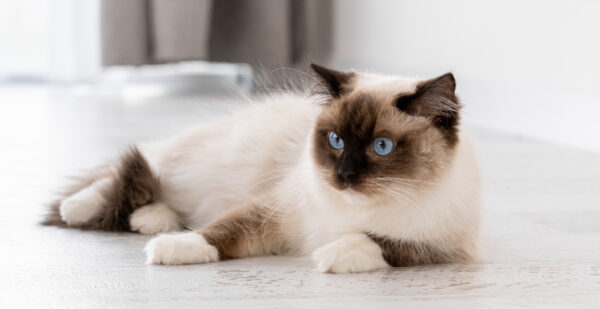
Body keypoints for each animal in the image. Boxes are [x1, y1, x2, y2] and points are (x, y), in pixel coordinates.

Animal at [43, 62, 482, 272]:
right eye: (336, 141)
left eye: (382, 146)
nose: (343, 176)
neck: (353, 208)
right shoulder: (273, 213)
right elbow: (221, 230)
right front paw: (177, 248)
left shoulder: (437, 247)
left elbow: (378, 241)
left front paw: (333, 255)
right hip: (199, 161)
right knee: (146, 165)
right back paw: (80, 209)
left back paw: (150, 220)